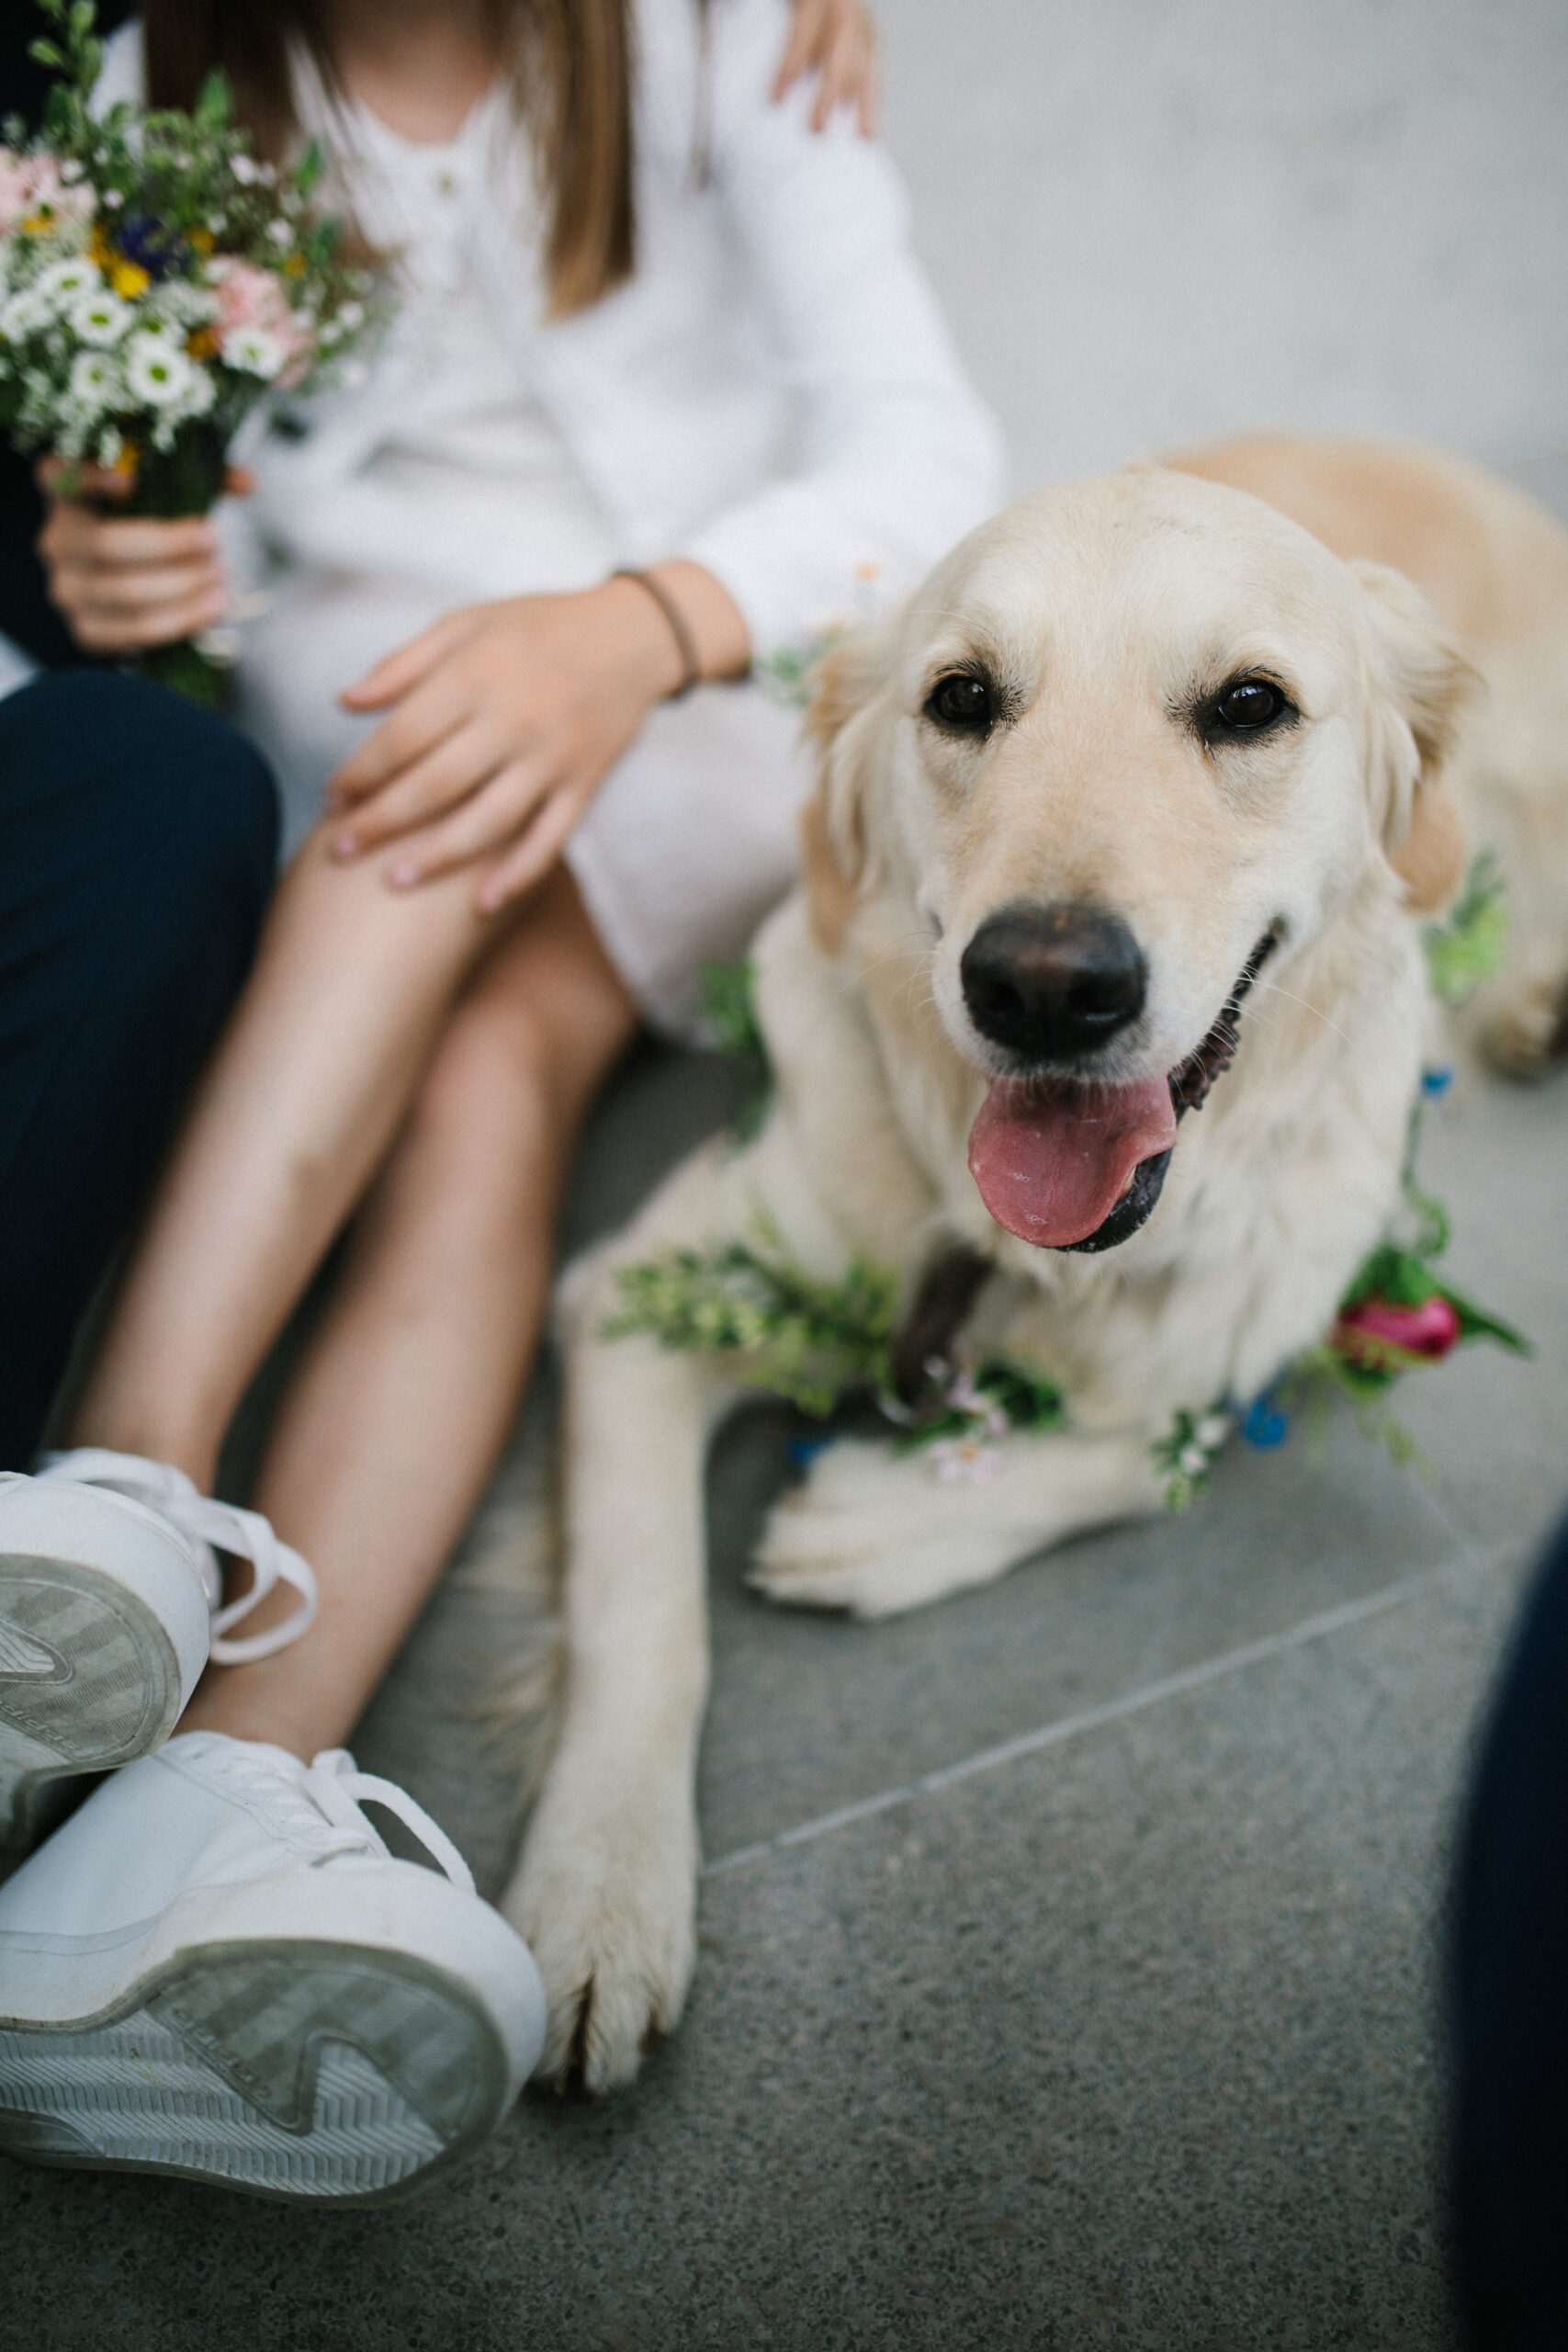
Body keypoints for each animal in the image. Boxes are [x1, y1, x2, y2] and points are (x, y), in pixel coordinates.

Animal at [501, 437, 1568, 2079]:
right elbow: (641, 1617)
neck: (1024, 1255)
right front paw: (594, 1903)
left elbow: (1143, 1449)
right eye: (960, 698)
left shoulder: (1298, 1293)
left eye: (1247, 704)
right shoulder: (635, 1295)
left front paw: (873, 1522)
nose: (1043, 986)